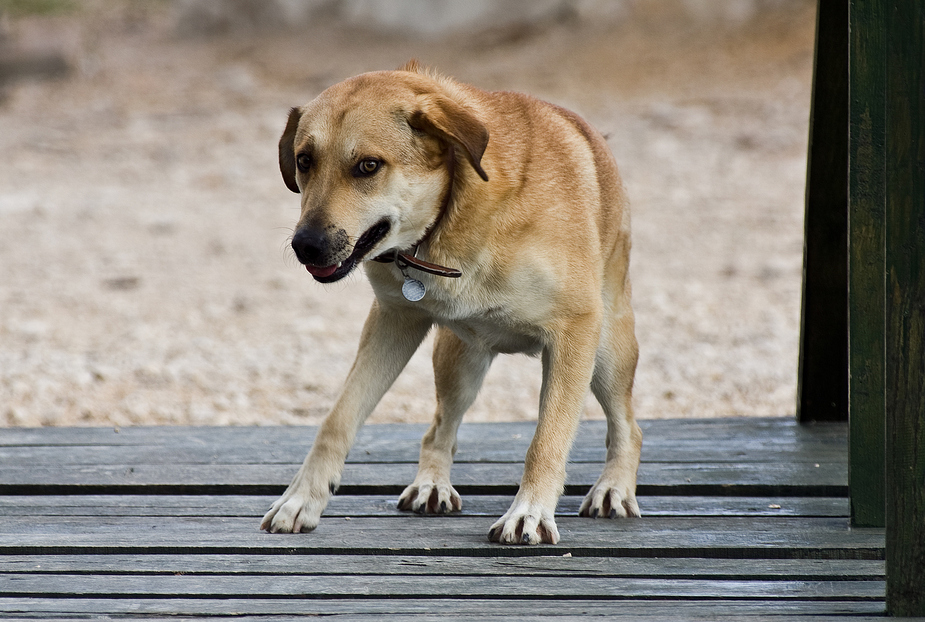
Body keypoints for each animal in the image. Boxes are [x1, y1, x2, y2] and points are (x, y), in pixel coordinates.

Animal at [256, 59, 640, 544]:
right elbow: (338, 419)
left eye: (368, 166)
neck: (451, 219)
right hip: (459, 362)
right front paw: (302, 499)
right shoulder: (393, 320)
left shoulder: (574, 333)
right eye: (305, 161)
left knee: (628, 427)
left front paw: (529, 512)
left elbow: (547, 438)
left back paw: (614, 488)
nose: (305, 245)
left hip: (608, 354)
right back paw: (431, 483)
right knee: (440, 427)